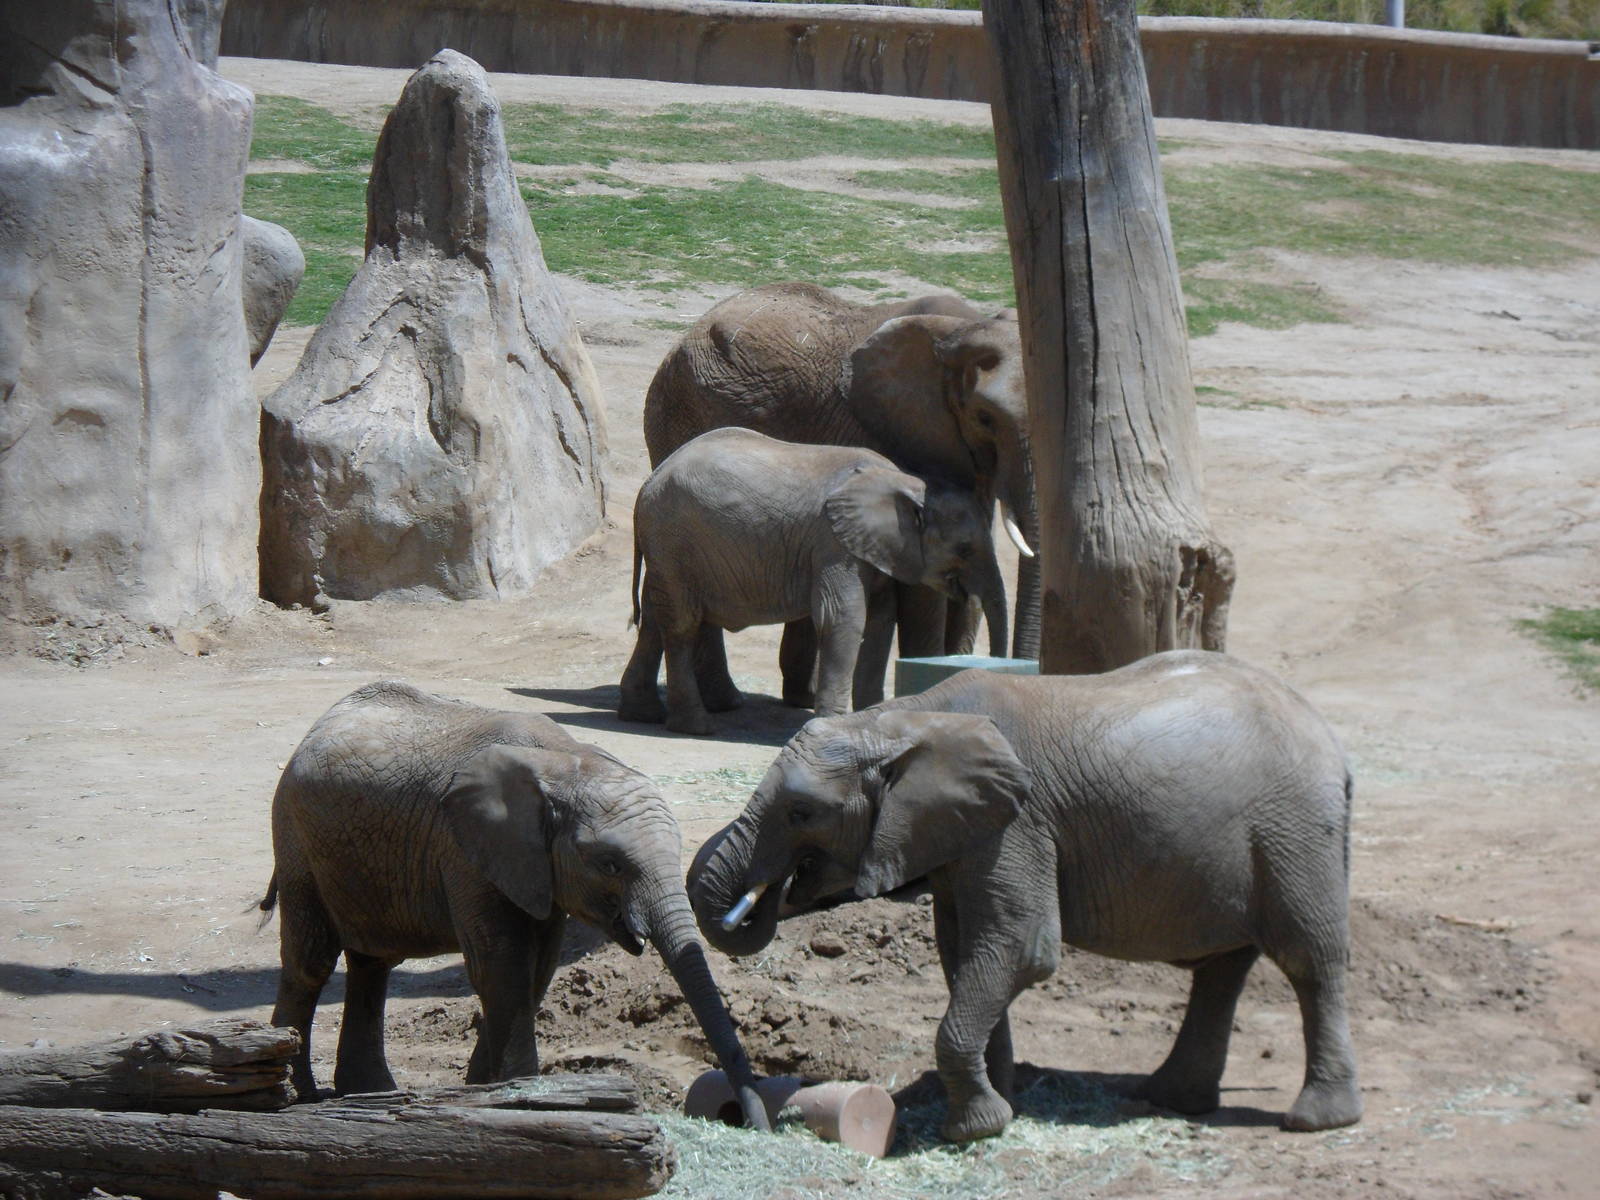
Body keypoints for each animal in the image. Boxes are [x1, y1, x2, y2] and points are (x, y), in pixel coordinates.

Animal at [260, 680, 770, 1130]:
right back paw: (297, 1096)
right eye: (610, 865)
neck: (564, 761)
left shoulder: (538, 870)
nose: (749, 1122)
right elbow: (501, 965)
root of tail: (318, 724)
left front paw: (484, 1091)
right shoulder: (464, 850)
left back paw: (371, 1093)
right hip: (296, 839)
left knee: (373, 963)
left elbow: (537, 969)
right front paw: (523, 1096)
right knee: (311, 962)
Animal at [618, 427, 1007, 736]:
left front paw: (869, 718)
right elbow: (843, 619)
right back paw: (696, 727)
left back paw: (642, 714)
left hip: (668, 547)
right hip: (674, 536)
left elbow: (880, 623)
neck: (905, 481)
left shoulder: (875, 551)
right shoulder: (833, 544)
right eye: (964, 549)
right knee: (681, 624)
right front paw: (831, 724)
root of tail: (649, 481)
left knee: (655, 617)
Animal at [641, 281, 1038, 704]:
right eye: (985, 417)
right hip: (677, 412)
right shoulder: (899, 435)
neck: (965, 327)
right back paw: (726, 703)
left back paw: (795, 697)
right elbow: (921, 585)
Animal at [688, 651, 1360, 1142]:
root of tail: (1329, 736)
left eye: (801, 812)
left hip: (1296, 829)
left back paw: (1316, 1120)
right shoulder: (962, 832)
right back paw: (1171, 1100)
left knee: (1309, 957)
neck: (905, 718)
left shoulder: (1019, 823)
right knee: (1223, 968)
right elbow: (963, 953)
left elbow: (1021, 946)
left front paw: (973, 1131)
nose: (767, 893)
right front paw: (997, 1105)